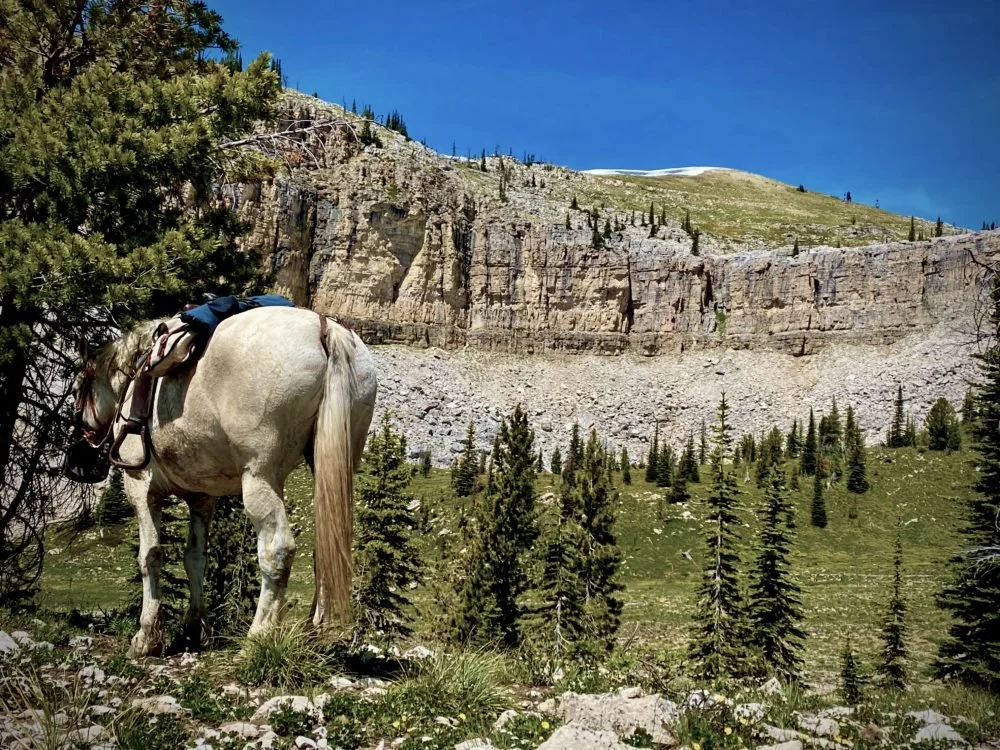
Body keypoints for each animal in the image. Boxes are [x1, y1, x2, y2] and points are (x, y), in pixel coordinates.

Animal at [69, 306, 378, 657]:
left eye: (77, 389)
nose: (79, 459)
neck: (135, 380)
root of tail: (324, 329)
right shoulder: (202, 498)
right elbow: (195, 559)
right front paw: (194, 630)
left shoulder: (140, 487)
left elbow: (150, 556)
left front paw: (146, 637)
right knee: (327, 546)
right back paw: (315, 633)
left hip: (260, 478)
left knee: (277, 551)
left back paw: (257, 639)